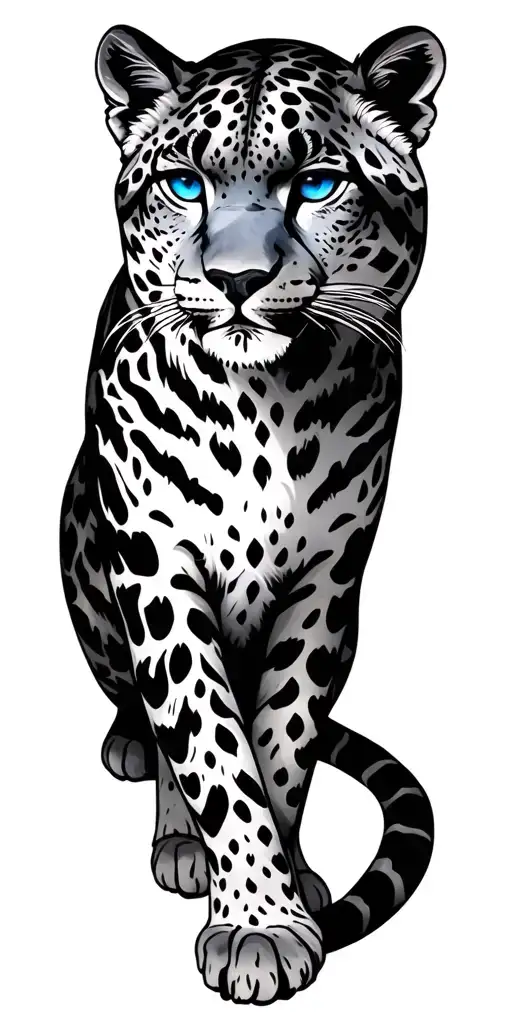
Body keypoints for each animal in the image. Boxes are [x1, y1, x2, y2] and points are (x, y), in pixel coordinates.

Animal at [60, 24, 445, 1005]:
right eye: (185, 184)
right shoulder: (156, 563)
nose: (236, 280)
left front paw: (278, 901)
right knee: (146, 717)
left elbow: (280, 742)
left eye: (315, 184)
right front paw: (256, 923)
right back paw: (166, 818)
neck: (263, 405)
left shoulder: (326, 581)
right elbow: (206, 739)